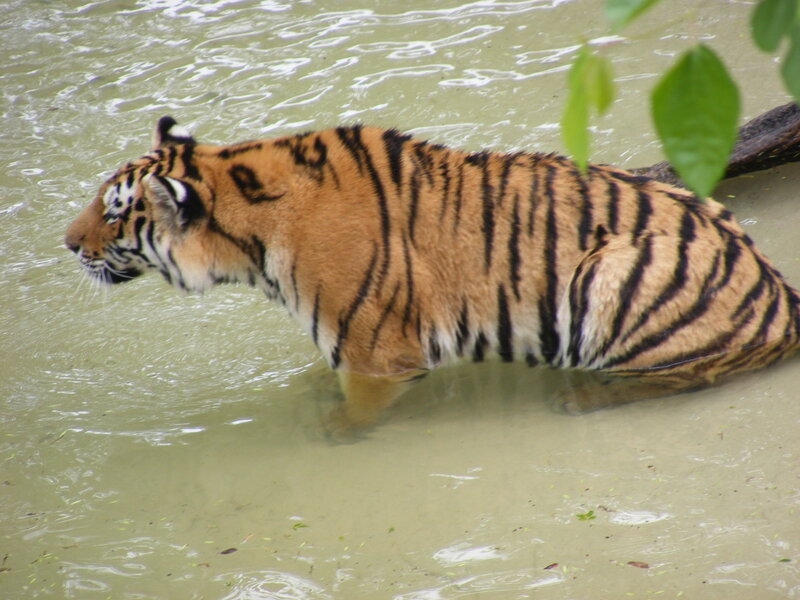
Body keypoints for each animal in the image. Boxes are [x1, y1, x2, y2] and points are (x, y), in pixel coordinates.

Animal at [65, 116, 800, 430]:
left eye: (115, 212)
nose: (68, 244)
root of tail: (780, 297)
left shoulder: (379, 355)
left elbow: (357, 408)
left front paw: (331, 428)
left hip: (613, 276)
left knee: (676, 376)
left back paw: (578, 398)